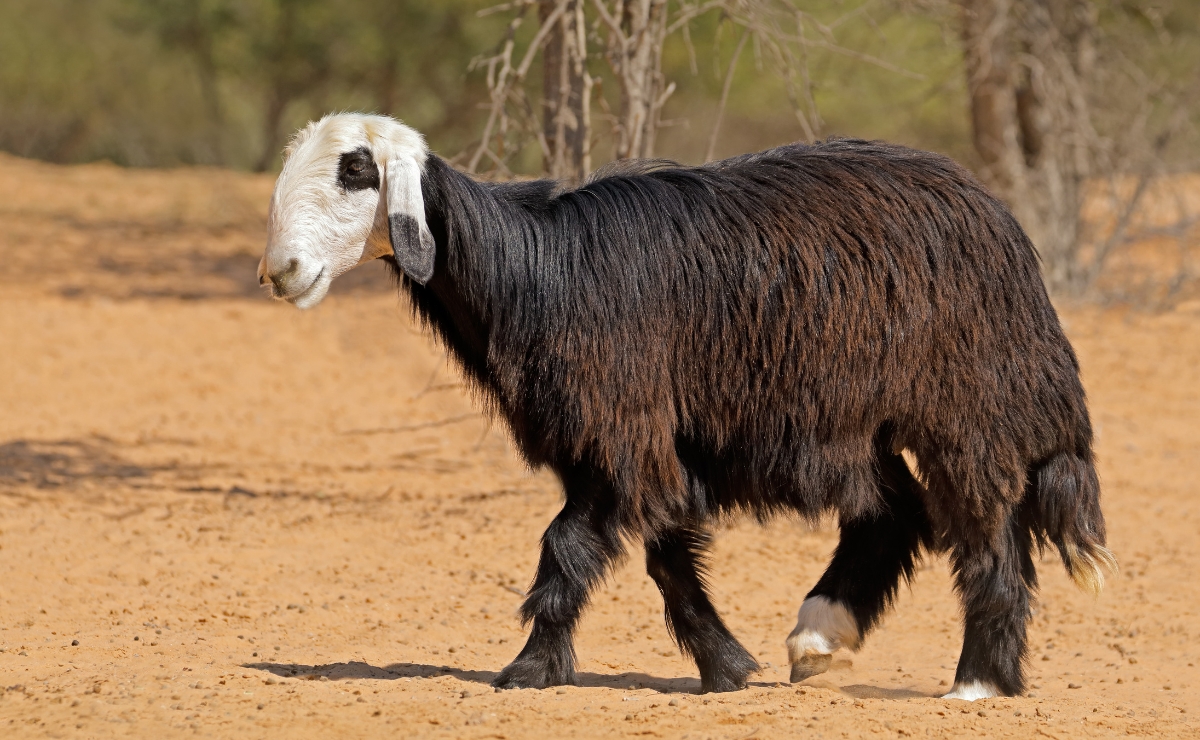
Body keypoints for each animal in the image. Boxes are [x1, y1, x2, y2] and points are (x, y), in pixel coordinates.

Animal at [260, 112, 1113, 695]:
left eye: (357, 171)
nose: (281, 272)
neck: (538, 270)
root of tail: (997, 220)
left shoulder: (621, 429)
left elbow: (569, 548)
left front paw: (528, 669)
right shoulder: (636, 440)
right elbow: (665, 554)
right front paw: (726, 666)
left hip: (966, 407)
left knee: (984, 527)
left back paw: (978, 680)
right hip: (859, 420)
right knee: (892, 513)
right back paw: (819, 638)